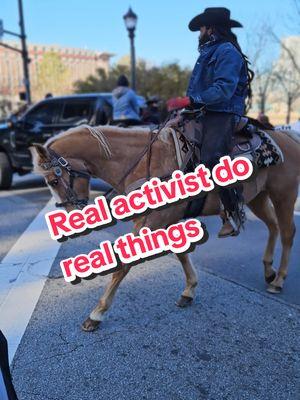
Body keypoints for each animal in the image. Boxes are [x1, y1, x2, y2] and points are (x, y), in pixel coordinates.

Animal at [30, 125, 300, 332]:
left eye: (53, 180)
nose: (72, 216)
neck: (142, 164)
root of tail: (288, 136)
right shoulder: (159, 219)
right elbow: (181, 253)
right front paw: (189, 290)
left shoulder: (155, 220)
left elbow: (124, 264)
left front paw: (97, 313)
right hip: (258, 197)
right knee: (273, 226)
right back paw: (269, 271)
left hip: (283, 195)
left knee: (287, 232)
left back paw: (279, 280)